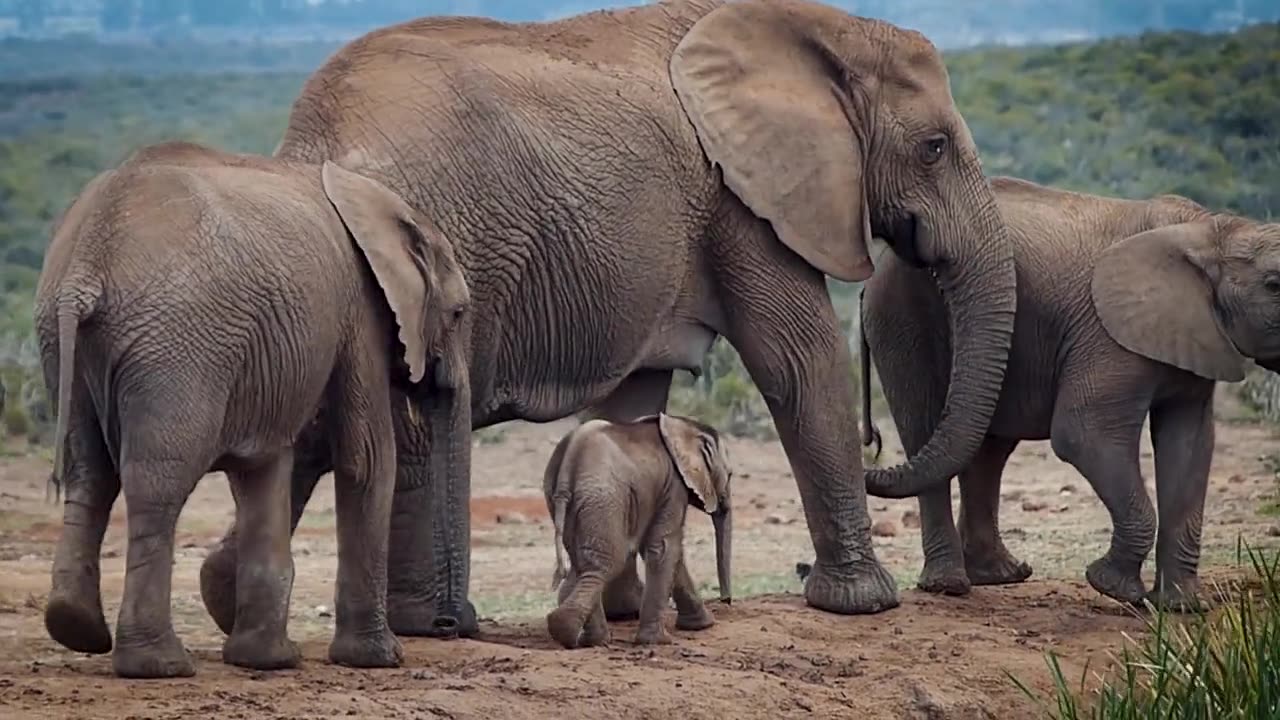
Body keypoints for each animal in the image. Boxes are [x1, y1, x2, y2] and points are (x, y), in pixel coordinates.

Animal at [37, 137, 473, 676]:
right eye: (459, 313)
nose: (447, 626)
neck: (376, 201)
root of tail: (87, 265)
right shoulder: (360, 311)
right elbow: (367, 458)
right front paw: (378, 659)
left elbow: (265, 463)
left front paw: (267, 660)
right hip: (176, 349)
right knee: (155, 484)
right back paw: (159, 665)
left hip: (65, 346)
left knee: (90, 473)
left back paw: (75, 627)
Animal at [545, 412, 737, 648]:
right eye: (730, 475)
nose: (726, 600)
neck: (681, 425)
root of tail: (570, 459)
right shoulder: (673, 485)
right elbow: (664, 548)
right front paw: (658, 641)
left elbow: (670, 551)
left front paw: (702, 625)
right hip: (604, 499)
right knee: (604, 565)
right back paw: (572, 631)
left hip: (569, 500)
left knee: (581, 565)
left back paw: (591, 640)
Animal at [855, 174, 1280, 604]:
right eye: (1275, 284)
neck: (1213, 230)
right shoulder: (1107, 334)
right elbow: (1084, 434)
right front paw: (1114, 588)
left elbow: (1190, 445)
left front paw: (1184, 607)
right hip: (903, 312)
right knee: (926, 429)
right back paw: (949, 585)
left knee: (986, 447)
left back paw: (1000, 575)